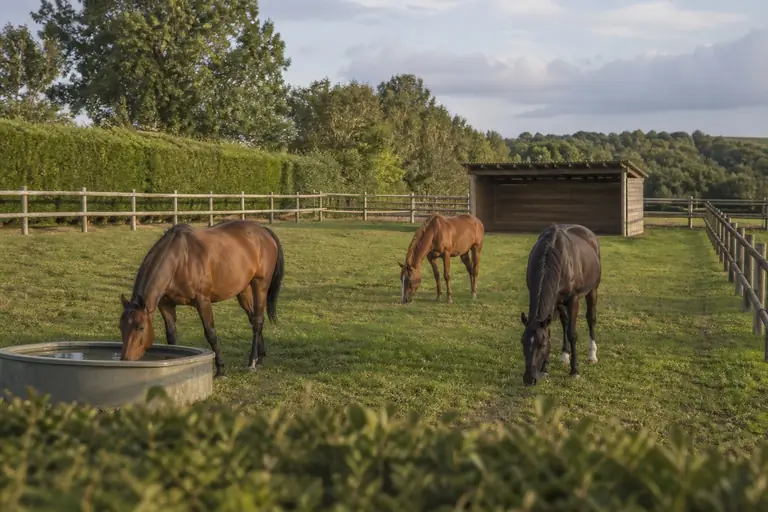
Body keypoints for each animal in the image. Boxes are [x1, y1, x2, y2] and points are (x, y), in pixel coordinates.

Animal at [118, 219, 285, 377]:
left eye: (141, 328)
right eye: (121, 327)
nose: (126, 360)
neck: (181, 260)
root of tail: (263, 231)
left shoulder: (203, 301)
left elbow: (210, 333)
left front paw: (221, 370)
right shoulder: (166, 305)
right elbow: (171, 336)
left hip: (260, 284)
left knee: (257, 321)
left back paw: (252, 362)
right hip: (243, 290)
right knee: (253, 318)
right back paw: (261, 358)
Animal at [519, 223, 601, 386]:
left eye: (542, 345)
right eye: (522, 342)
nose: (529, 379)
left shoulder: (573, 300)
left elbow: (572, 334)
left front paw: (575, 371)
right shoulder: (555, 300)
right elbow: (552, 330)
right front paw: (545, 369)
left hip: (592, 290)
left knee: (591, 319)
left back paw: (592, 355)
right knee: (564, 321)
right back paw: (564, 355)